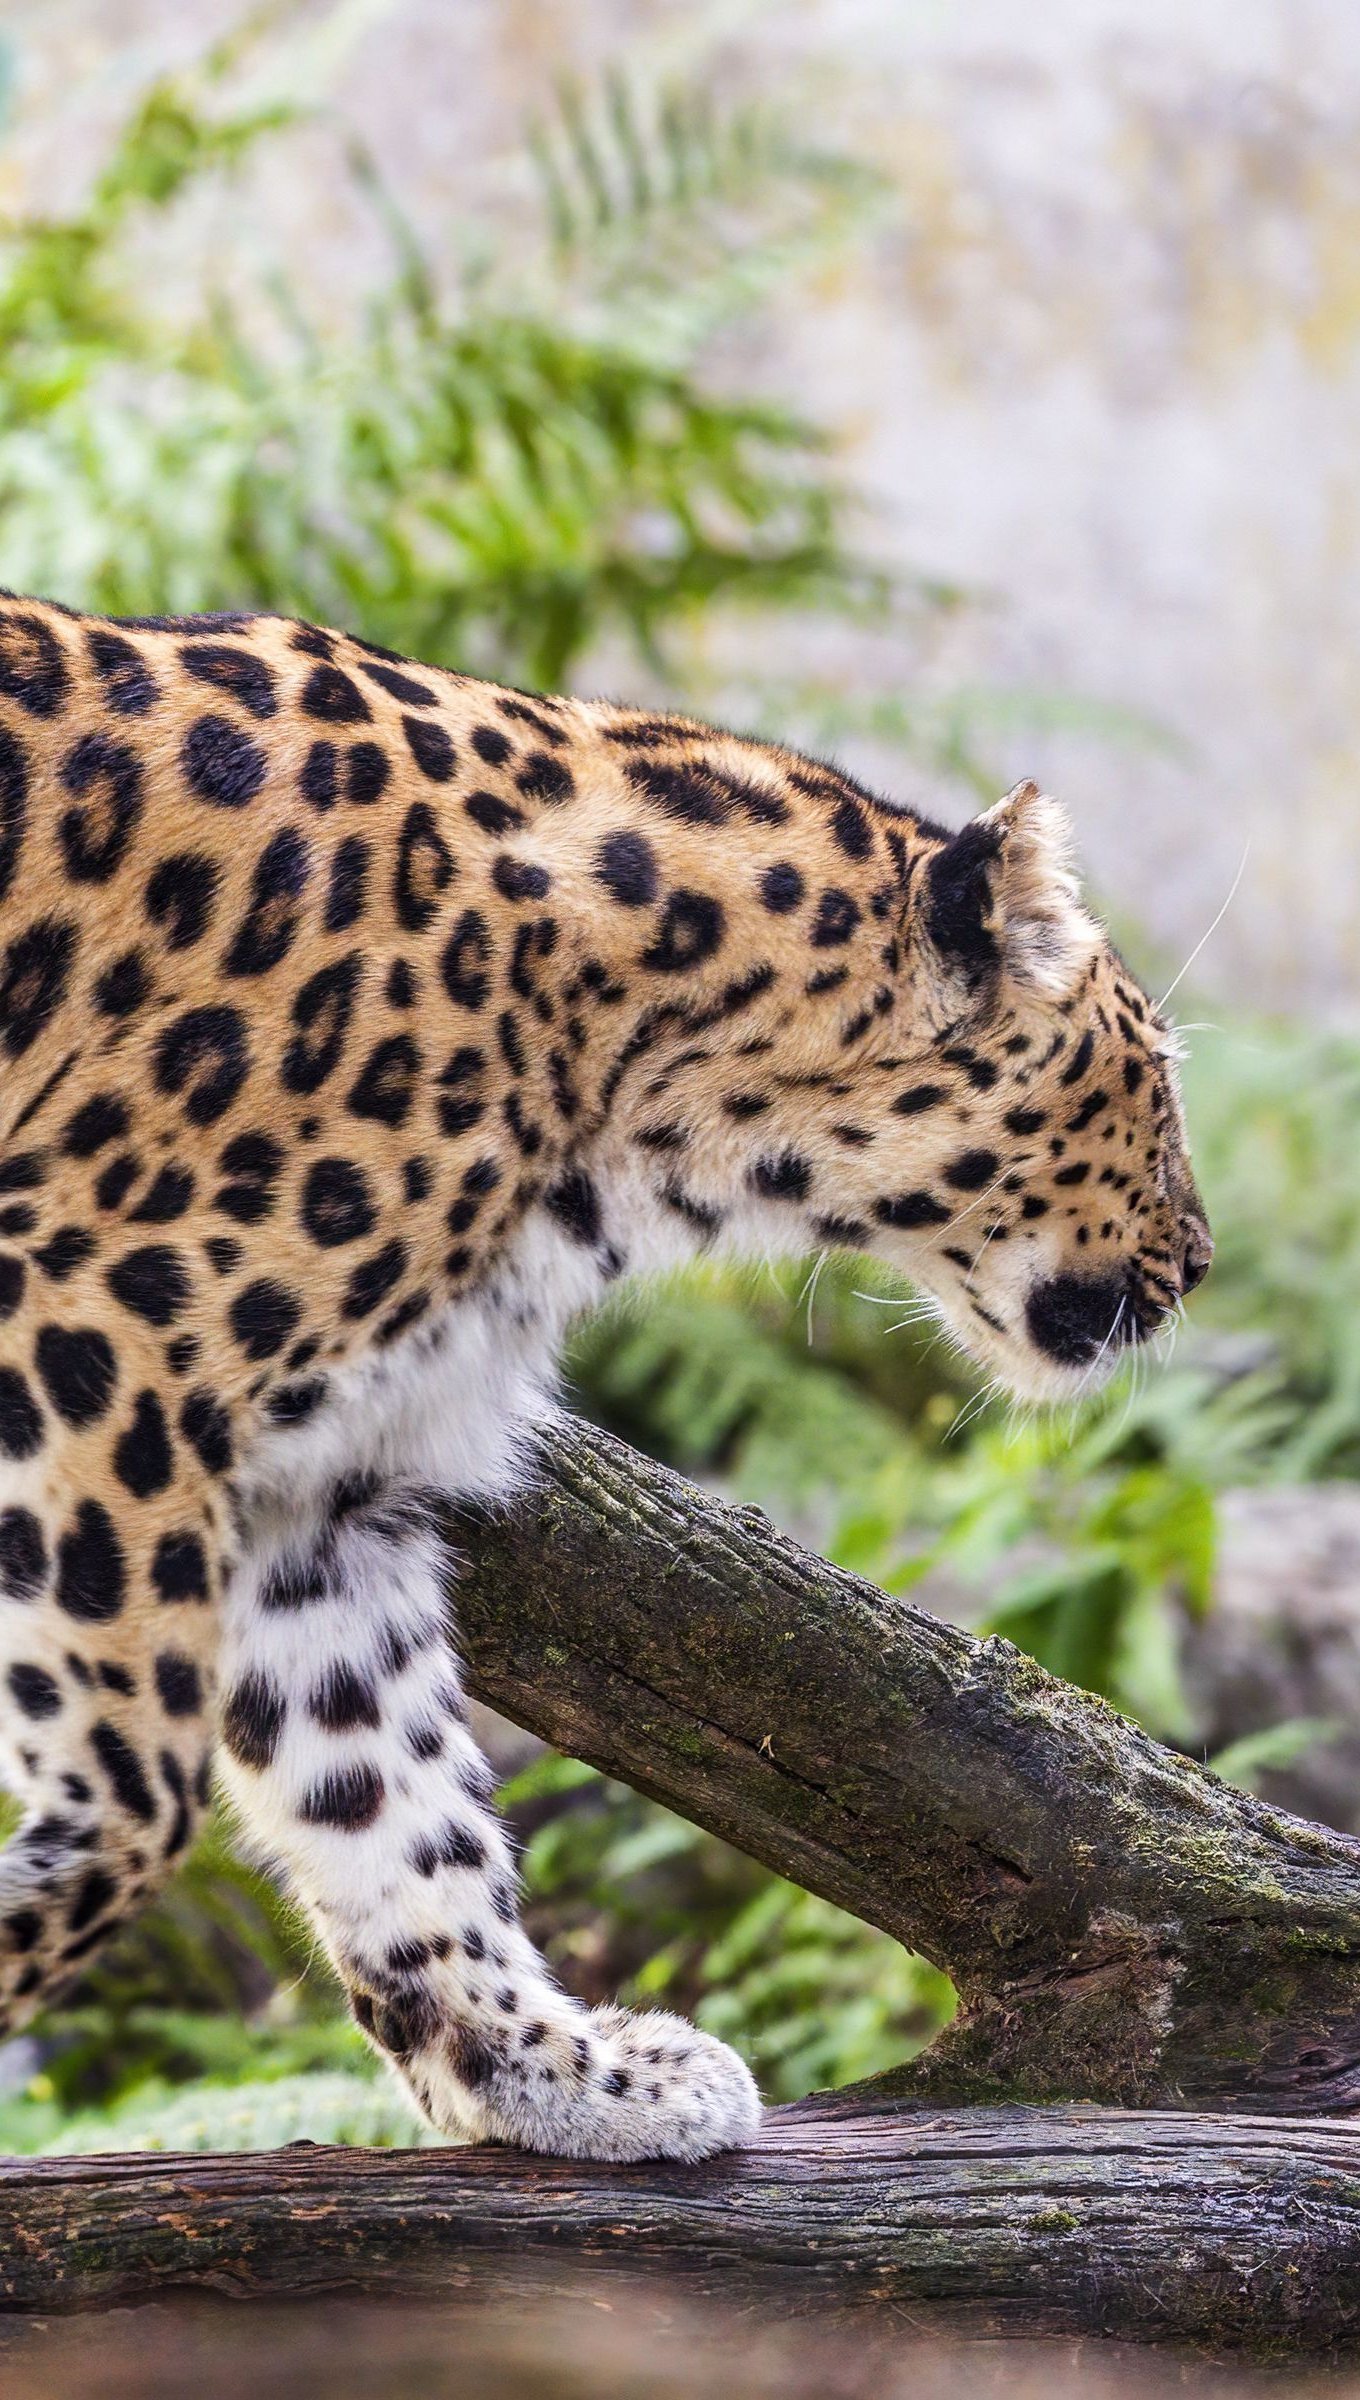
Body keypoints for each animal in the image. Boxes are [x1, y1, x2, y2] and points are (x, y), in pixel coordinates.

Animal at [0, 595, 1213, 2160]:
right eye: (1157, 1080)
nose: (1201, 1264)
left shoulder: (314, 1488)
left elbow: (390, 1794)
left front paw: (561, 2073)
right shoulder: (101, 1338)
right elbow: (132, 1784)